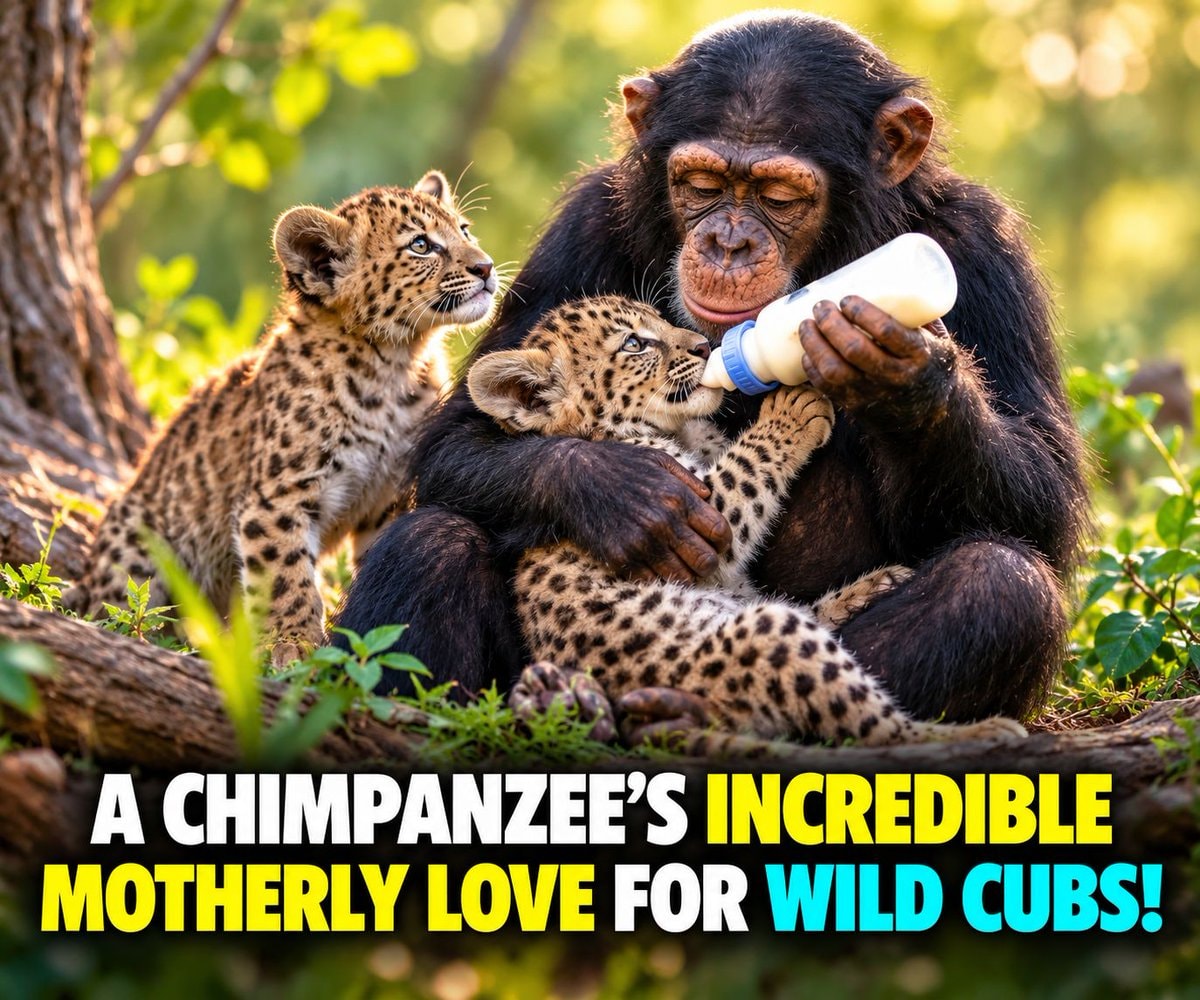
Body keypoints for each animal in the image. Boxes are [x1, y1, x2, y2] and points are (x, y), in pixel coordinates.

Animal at [72, 171, 497, 666]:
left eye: (465, 230)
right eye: (421, 245)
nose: (486, 267)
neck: (394, 362)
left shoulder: (387, 495)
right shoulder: (279, 496)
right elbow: (285, 574)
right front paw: (294, 645)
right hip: (139, 544)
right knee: (119, 608)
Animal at [467, 295, 1027, 750]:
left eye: (659, 323)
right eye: (634, 343)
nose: (701, 346)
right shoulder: (693, 512)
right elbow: (747, 465)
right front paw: (793, 410)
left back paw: (872, 587)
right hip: (762, 638)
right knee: (876, 729)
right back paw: (978, 734)